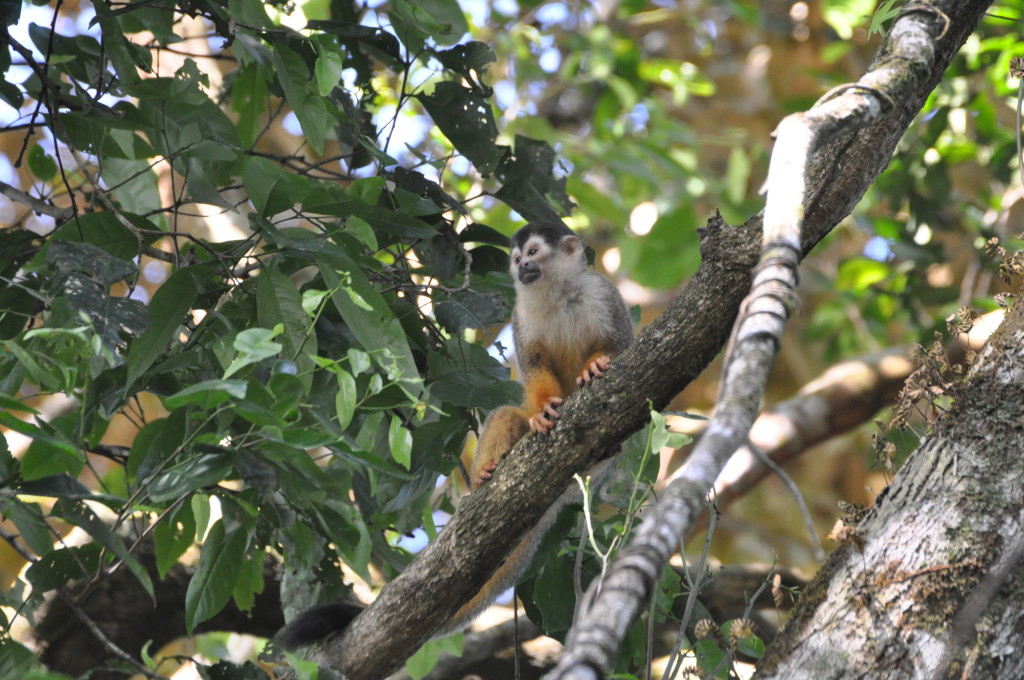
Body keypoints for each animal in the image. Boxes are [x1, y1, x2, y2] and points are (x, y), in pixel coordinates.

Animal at [280, 220, 630, 651]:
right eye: (517, 258)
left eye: (533, 253)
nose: (521, 269)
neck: (557, 292)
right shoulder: (521, 315)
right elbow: (533, 369)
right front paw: (544, 409)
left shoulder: (603, 294)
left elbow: (622, 346)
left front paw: (596, 365)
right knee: (506, 416)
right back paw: (488, 473)